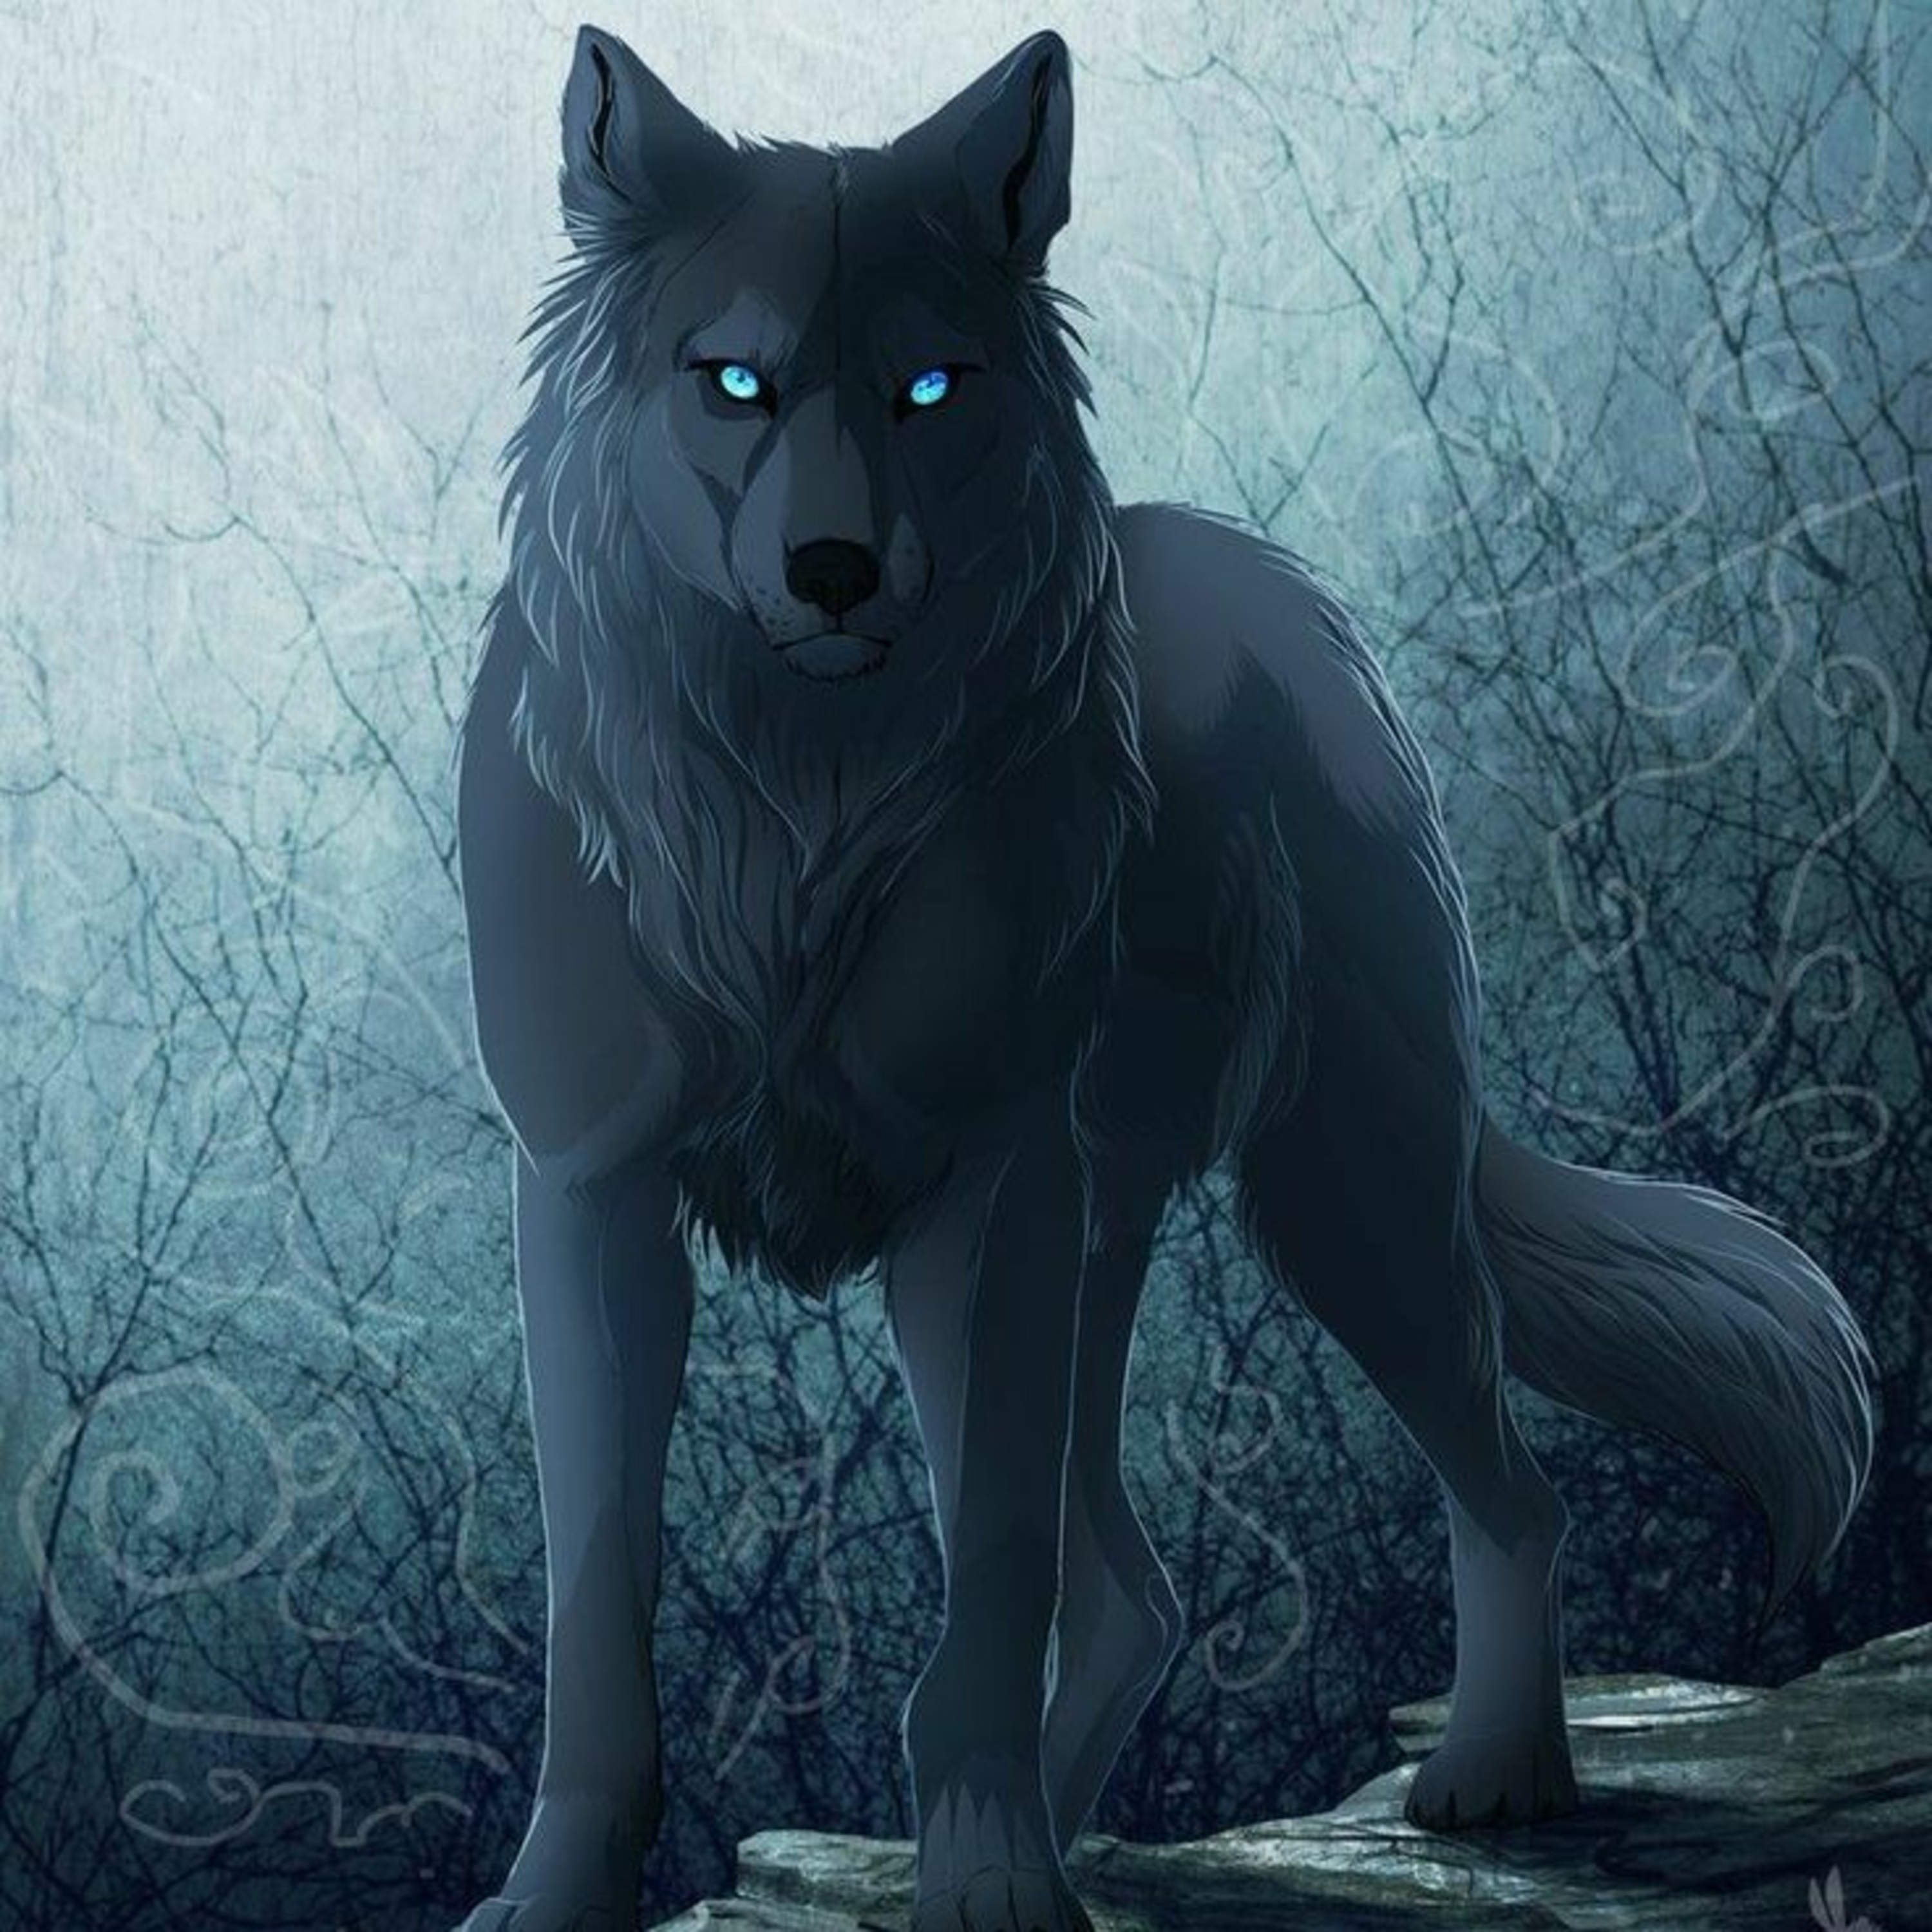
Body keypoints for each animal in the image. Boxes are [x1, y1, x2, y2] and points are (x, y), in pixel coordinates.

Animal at [451, 25, 1875, 1932]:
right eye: (733, 382)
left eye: (929, 390)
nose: (834, 569)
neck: (793, 820)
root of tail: (1284, 594)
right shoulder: (593, 1196)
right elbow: (598, 1623)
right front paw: (560, 1896)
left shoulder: (989, 1196)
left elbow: (986, 1592)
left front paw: (992, 1880)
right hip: (1098, 1250)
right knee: (1134, 1594)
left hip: (1332, 1201)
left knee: (1501, 1493)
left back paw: (1488, 1775)